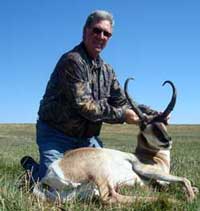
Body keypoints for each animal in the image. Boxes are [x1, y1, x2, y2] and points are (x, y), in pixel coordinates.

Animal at [32, 78, 197, 204]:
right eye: (144, 125)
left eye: (165, 123)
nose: (166, 140)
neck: (151, 156)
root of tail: (50, 173)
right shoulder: (145, 169)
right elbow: (184, 180)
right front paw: (190, 198)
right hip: (101, 175)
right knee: (109, 197)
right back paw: (167, 200)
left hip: (82, 192)